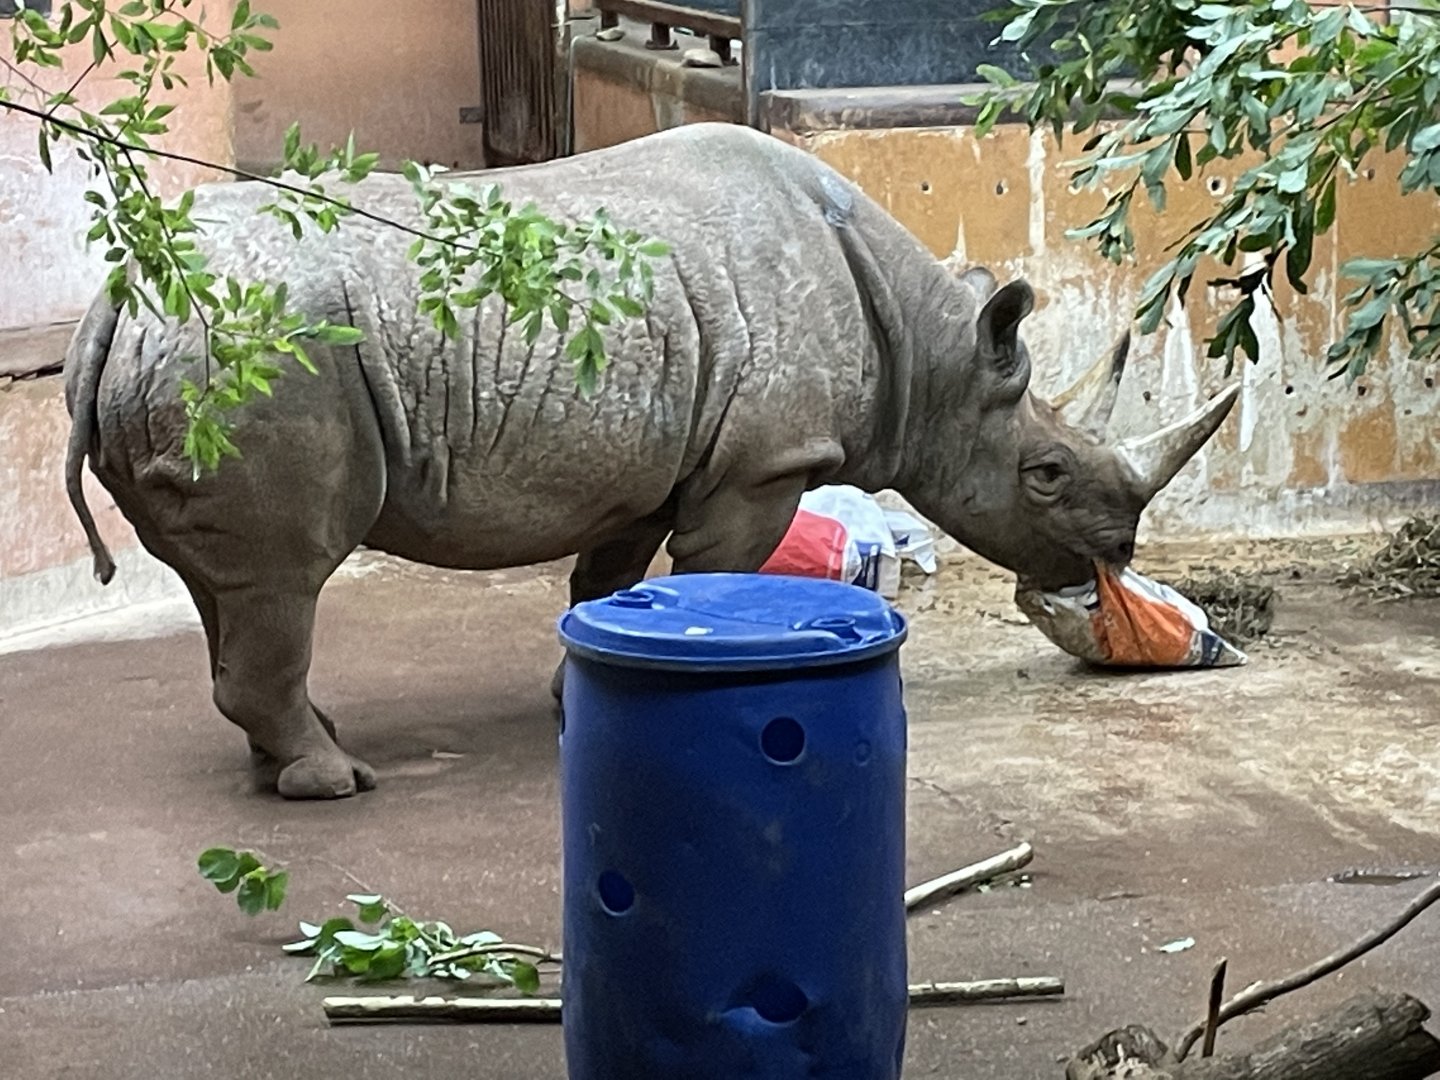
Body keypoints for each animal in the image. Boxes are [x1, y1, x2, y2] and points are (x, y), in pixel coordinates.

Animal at [63, 123, 1238, 799]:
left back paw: (291, 757)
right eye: (1046, 475)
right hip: (259, 361)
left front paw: (580, 695)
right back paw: (335, 780)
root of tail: (119, 299)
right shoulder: (762, 463)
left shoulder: (642, 456)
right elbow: (712, 577)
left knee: (230, 583)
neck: (933, 352)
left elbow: (608, 582)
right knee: (284, 575)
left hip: (208, 361)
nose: (1116, 550)